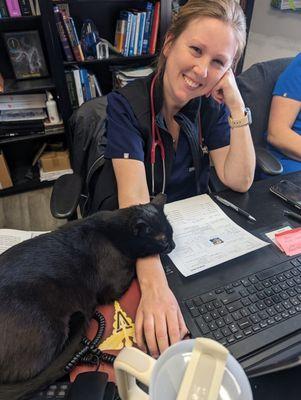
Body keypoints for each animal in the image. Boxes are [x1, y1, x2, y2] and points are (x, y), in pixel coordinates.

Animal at [0, 192, 173, 398]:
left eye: (172, 233)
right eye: (163, 240)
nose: (173, 245)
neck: (115, 232)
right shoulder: (113, 287)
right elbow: (133, 267)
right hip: (52, 326)